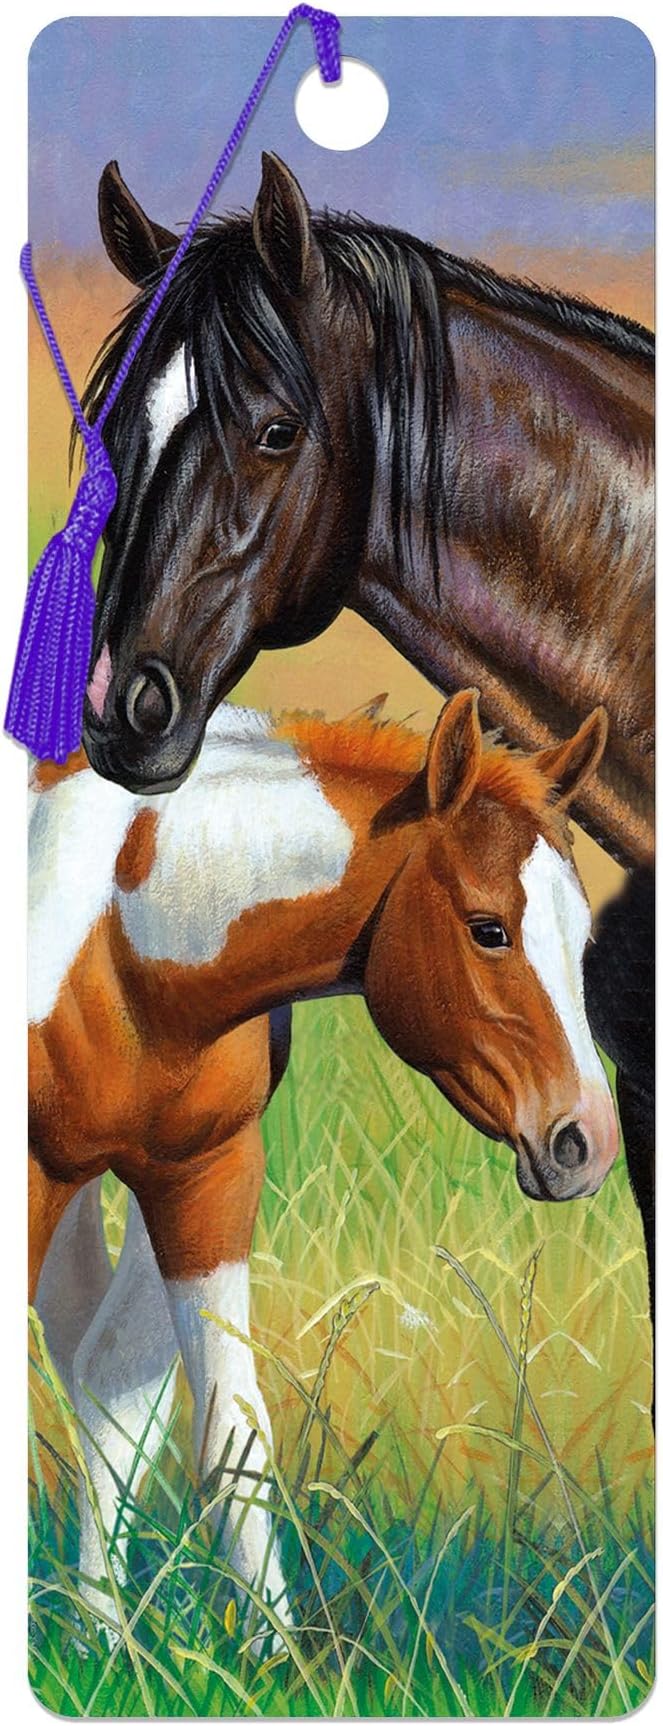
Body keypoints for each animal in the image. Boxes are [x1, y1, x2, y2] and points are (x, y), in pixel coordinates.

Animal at [31, 692, 615, 1642]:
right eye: (488, 930)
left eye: (585, 934)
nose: (584, 1144)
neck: (127, 939)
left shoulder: (205, 1175)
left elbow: (223, 1427)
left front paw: (268, 1653)